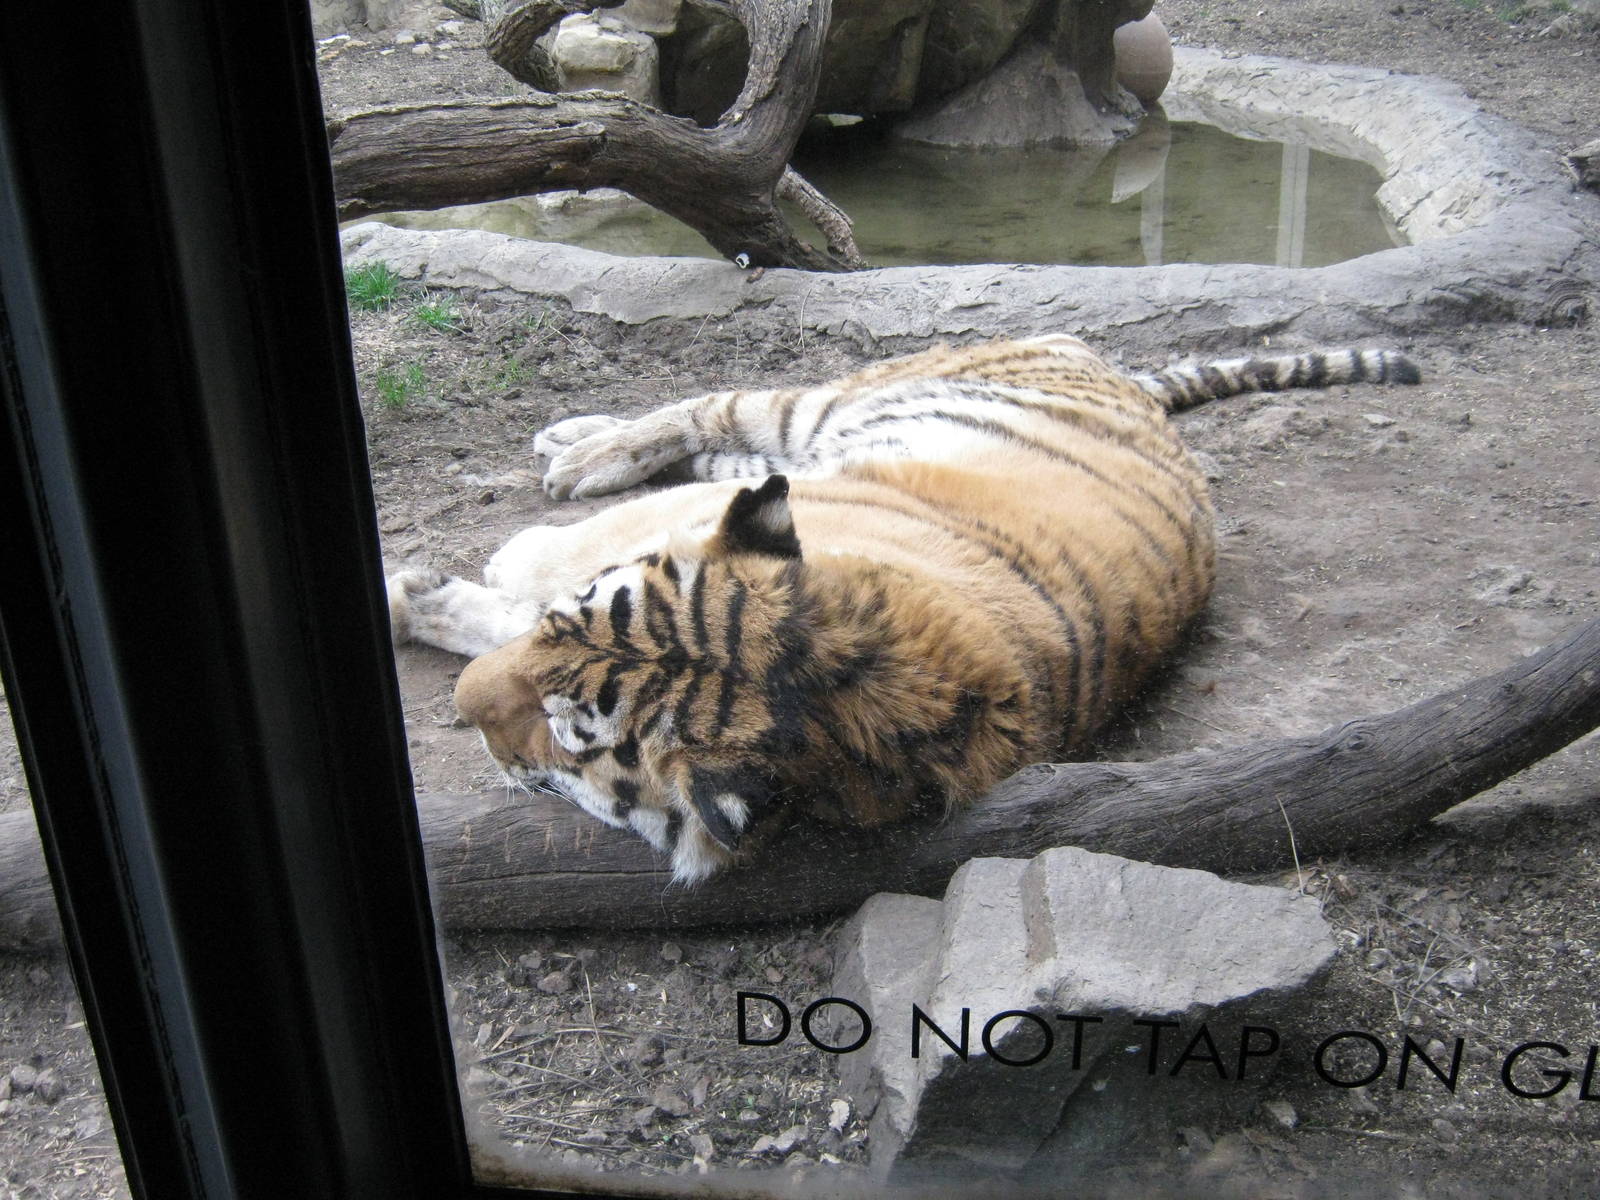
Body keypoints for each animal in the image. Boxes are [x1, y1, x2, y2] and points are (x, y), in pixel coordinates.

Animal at [387, 335, 1420, 883]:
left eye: (568, 737)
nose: (461, 714)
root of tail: (1115, 368)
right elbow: (554, 567)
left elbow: (522, 583)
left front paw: (427, 590)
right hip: (829, 402)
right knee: (709, 406)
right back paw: (576, 443)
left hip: (811, 424)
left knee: (719, 432)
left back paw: (574, 449)